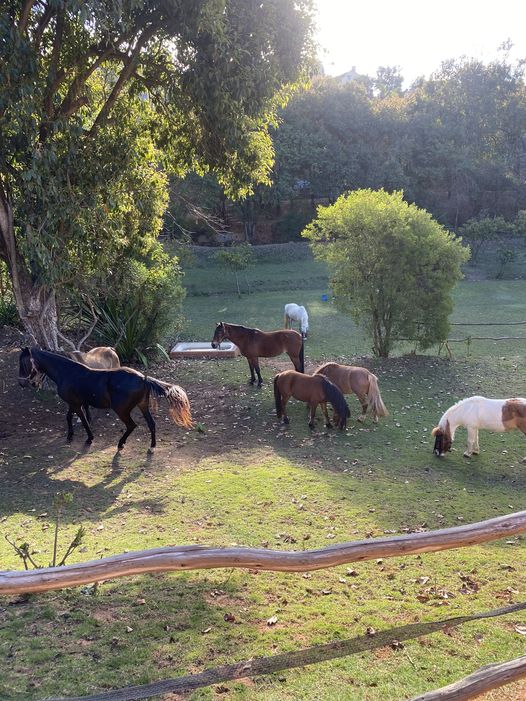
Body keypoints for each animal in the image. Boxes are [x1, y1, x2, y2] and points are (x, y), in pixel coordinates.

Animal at [20, 348, 196, 452]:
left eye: (24, 363)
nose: (23, 383)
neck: (66, 372)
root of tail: (143, 378)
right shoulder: (74, 403)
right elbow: (69, 417)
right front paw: (70, 436)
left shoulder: (76, 404)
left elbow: (83, 421)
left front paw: (89, 439)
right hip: (143, 406)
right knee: (151, 424)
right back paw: (152, 447)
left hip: (122, 410)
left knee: (132, 425)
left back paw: (121, 444)